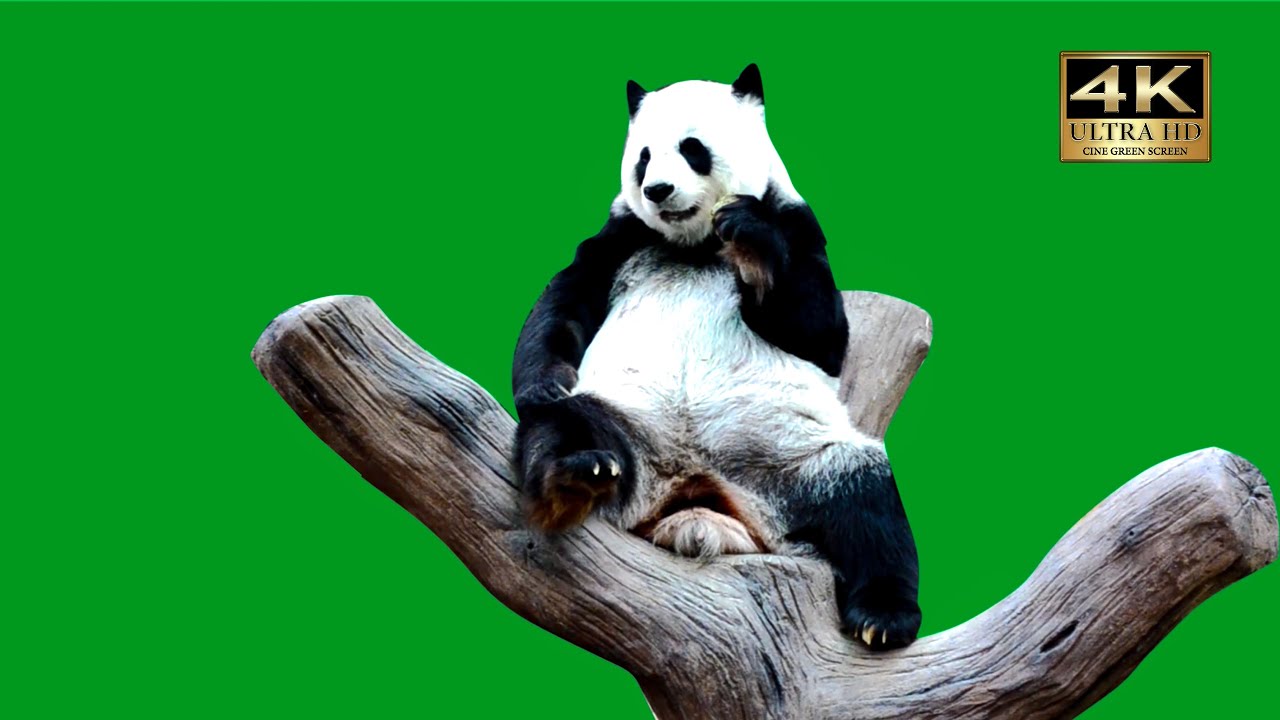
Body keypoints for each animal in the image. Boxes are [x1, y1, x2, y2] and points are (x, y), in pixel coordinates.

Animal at [512, 65, 921, 650]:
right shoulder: (621, 239)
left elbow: (822, 333)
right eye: (643, 157)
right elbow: (563, 302)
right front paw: (544, 382)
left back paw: (883, 619)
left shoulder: (798, 224)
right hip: (629, 420)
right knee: (561, 427)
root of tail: (691, 490)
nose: (658, 190)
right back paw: (576, 474)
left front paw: (749, 235)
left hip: (788, 460)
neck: (694, 244)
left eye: (692, 149)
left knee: (866, 501)